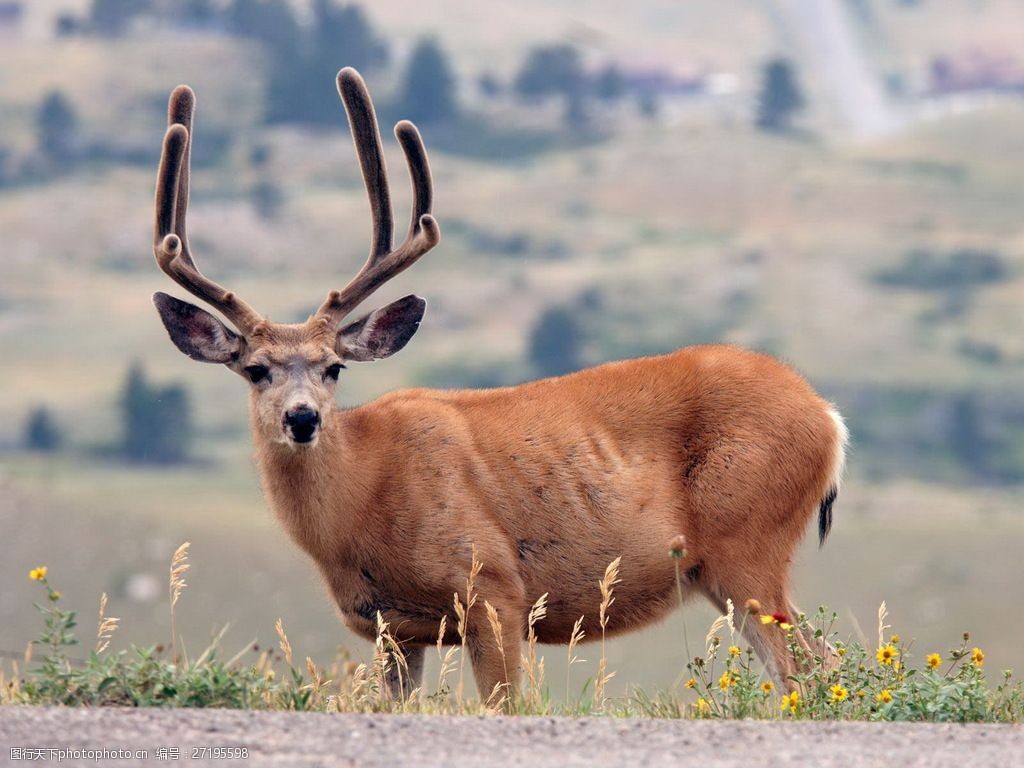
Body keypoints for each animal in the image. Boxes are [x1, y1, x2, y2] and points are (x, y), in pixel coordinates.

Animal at [148, 67, 843, 708]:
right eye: (255, 368)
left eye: (333, 367)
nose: (301, 418)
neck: (364, 497)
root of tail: (828, 417)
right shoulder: (392, 628)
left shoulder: (493, 589)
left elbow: (504, 703)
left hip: (748, 540)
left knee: (814, 667)